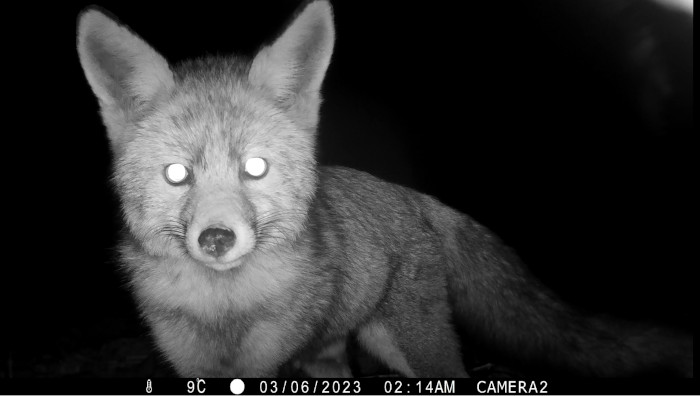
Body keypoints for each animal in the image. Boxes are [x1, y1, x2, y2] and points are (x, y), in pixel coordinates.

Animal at [75, 0, 688, 378]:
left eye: (255, 168)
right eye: (177, 175)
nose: (218, 240)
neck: (225, 310)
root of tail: (407, 195)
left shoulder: (268, 363)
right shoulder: (194, 366)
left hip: (415, 347)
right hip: (330, 352)